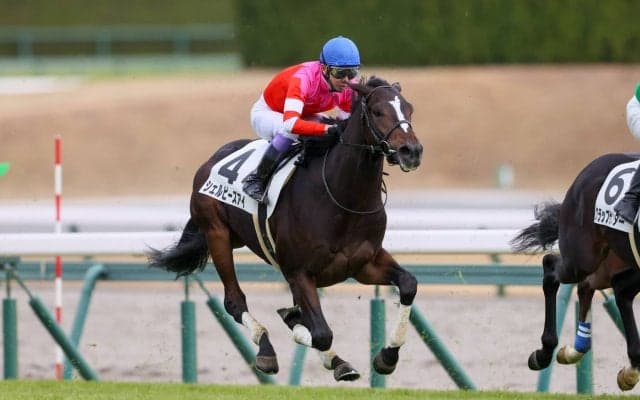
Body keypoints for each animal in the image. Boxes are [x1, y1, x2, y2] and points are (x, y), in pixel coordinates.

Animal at [148, 76, 423, 381]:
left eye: (410, 110)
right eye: (377, 111)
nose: (411, 151)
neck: (343, 198)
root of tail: (211, 160)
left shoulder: (364, 264)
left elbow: (408, 284)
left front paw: (387, 356)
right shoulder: (299, 271)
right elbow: (320, 333)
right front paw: (299, 326)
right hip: (216, 234)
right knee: (234, 301)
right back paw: (266, 350)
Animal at [511, 152, 640, 391]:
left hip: (611, 262)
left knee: (598, 287)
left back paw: (579, 350)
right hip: (581, 259)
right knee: (552, 267)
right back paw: (544, 353)